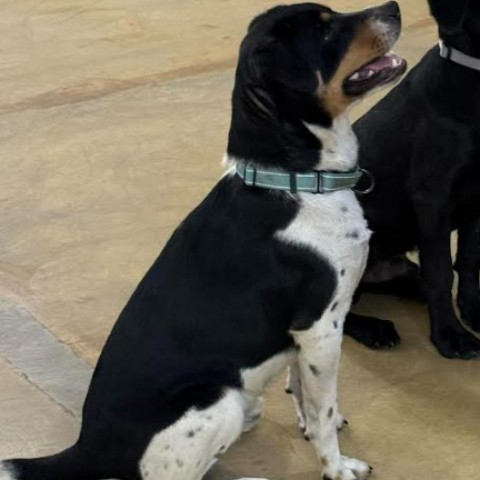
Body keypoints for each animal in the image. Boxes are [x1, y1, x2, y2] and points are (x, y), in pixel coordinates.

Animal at [0, 2, 406, 480]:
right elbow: (322, 413)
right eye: (326, 31)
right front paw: (337, 467)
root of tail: (87, 448)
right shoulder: (321, 326)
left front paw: (308, 423)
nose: (394, 7)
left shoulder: (302, 337)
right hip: (217, 398)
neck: (296, 181)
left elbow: (305, 394)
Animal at [344, 0, 480, 360]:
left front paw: (473, 308)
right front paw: (449, 335)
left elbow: (469, 258)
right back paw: (374, 328)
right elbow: (441, 271)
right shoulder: (432, 197)